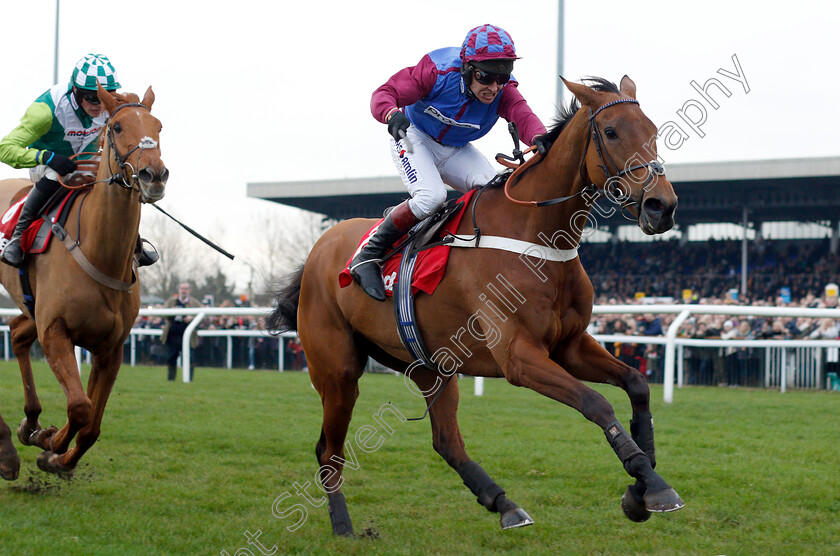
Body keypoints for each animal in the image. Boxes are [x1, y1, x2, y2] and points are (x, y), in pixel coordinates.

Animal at [0, 84, 169, 480]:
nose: (154, 175)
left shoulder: (111, 347)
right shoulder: (55, 331)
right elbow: (79, 406)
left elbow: (91, 423)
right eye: (118, 127)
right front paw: (49, 443)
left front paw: (54, 453)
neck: (99, 251)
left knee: (16, 333)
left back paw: (29, 423)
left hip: (31, 309)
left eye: (159, 126)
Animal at [270, 77, 684, 536]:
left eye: (653, 131)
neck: (537, 237)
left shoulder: (570, 345)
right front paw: (652, 484)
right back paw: (343, 525)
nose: (661, 206)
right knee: (329, 450)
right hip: (337, 370)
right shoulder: (519, 356)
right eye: (611, 132)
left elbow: (637, 384)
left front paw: (641, 486)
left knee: (446, 441)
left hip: (431, 365)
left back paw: (504, 504)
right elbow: (596, 403)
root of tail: (318, 249)